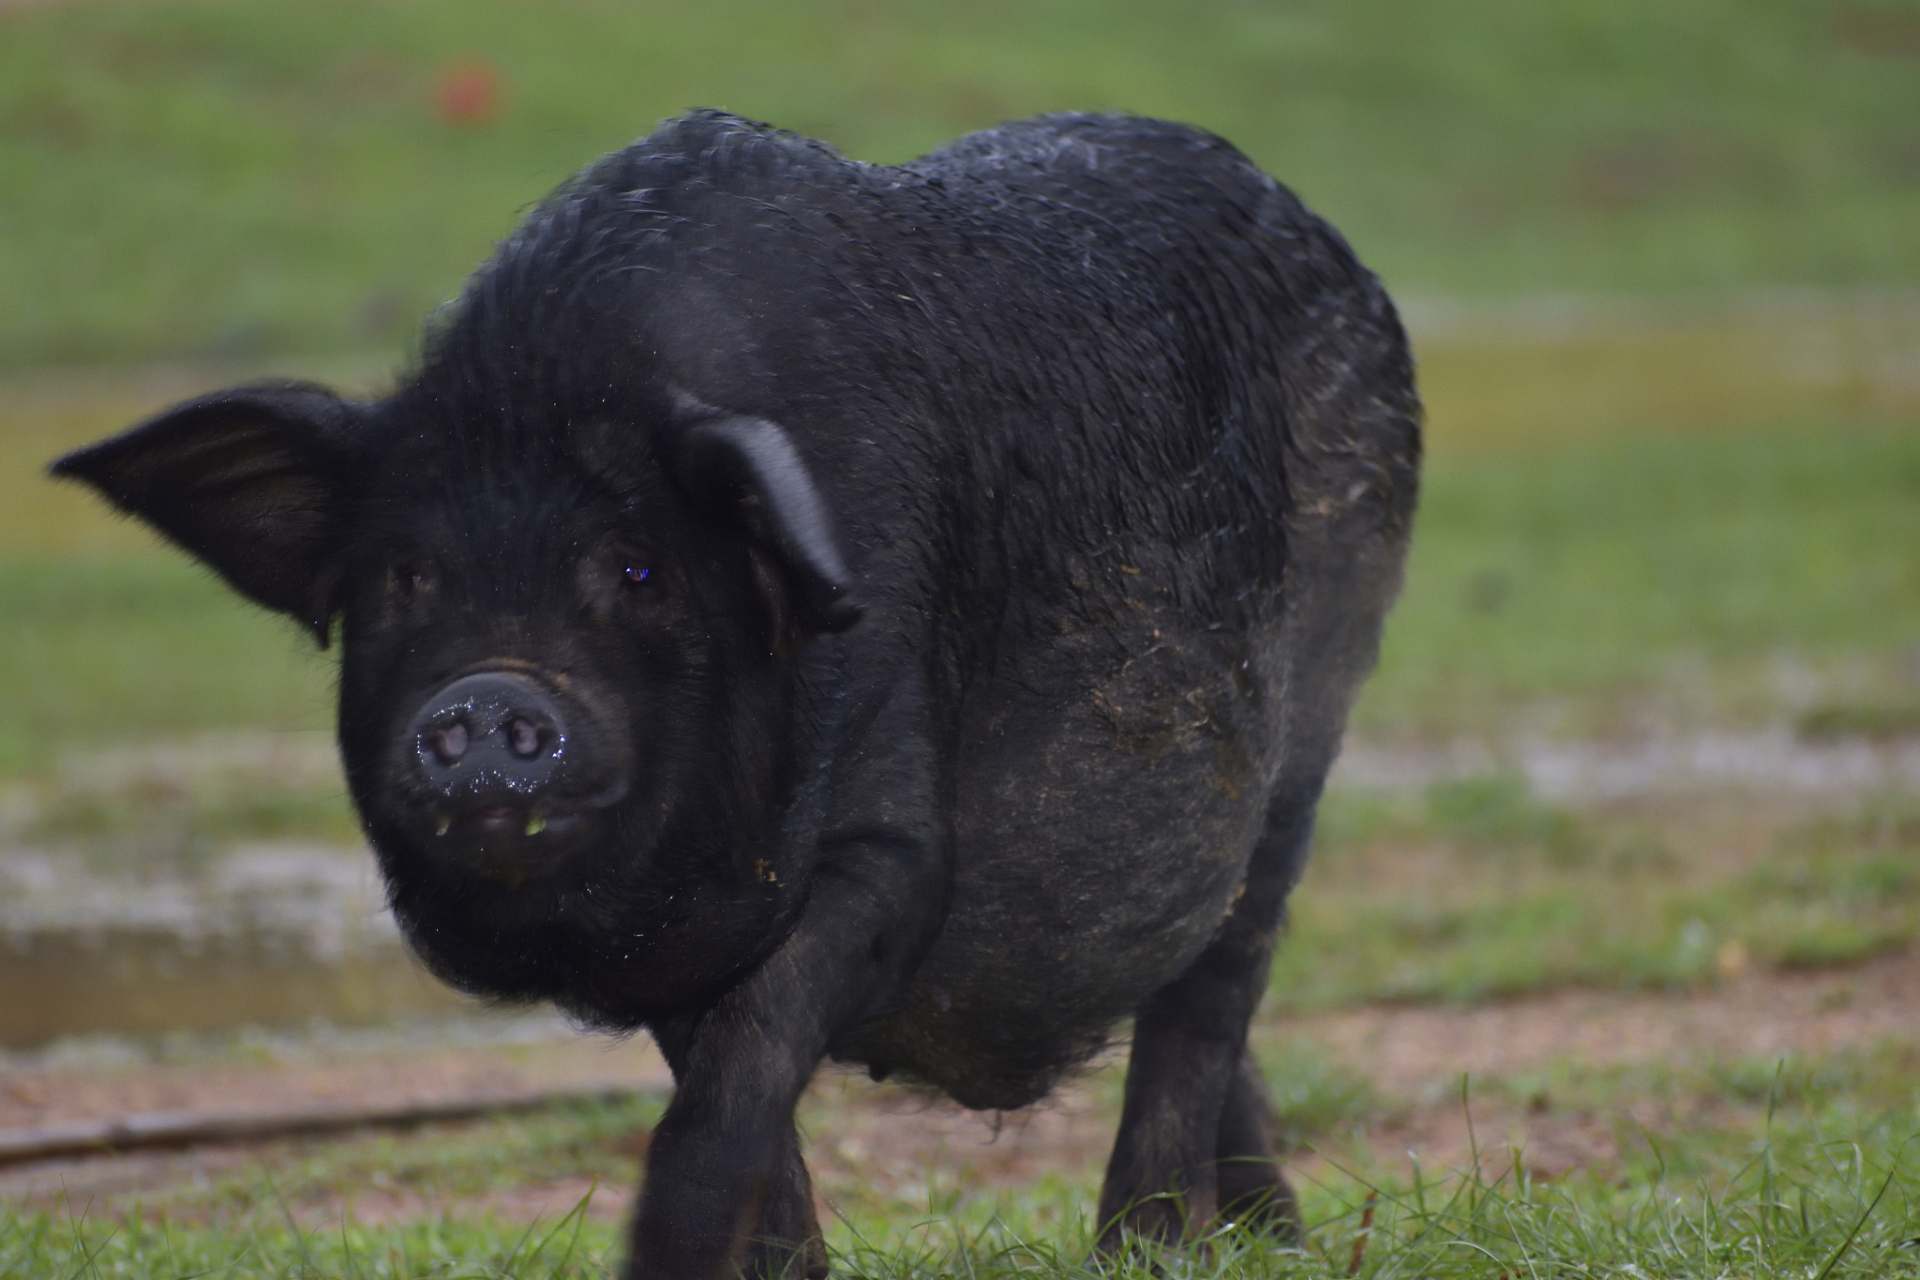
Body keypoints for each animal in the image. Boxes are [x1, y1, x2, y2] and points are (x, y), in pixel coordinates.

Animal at [56, 115, 1413, 1274]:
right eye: (404, 576)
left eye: (638, 567)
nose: (486, 696)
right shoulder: (682, 935)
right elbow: (730, 1084)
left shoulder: (887, 846)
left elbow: (744, 1066)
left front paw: (663, 1252)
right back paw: (1276, 1237)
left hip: (1315, 712)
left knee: (1212, 989)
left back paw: (1149, 1248)